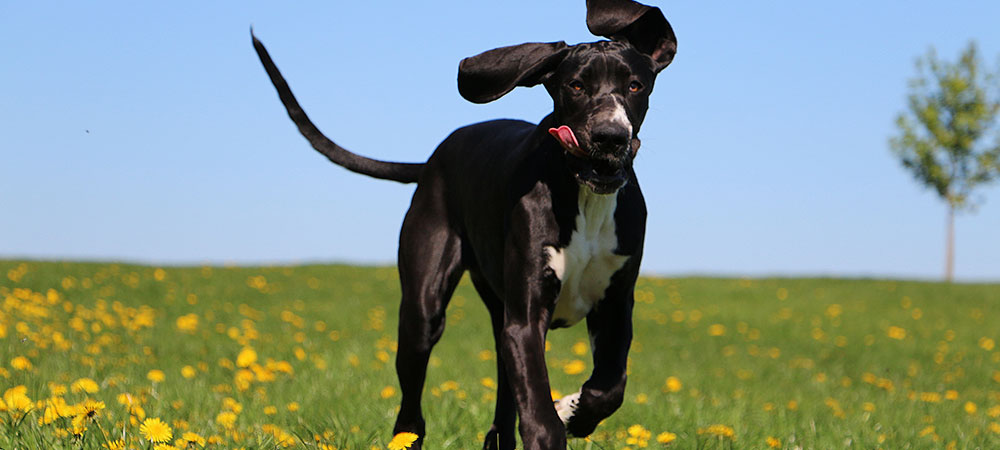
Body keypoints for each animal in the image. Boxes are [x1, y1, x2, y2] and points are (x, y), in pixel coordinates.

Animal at [250, 1, 676, 448]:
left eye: (635, 86)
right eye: (575, 86)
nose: (610, 137)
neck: (586, 197)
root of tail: (431, 161)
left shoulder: (615, 305)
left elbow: (610, 386)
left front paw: (573, 411)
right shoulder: (526, 320)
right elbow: (540, 414)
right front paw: (559, 417)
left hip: (497, 312)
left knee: (504, 401)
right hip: (423, 310)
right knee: (412, 410)